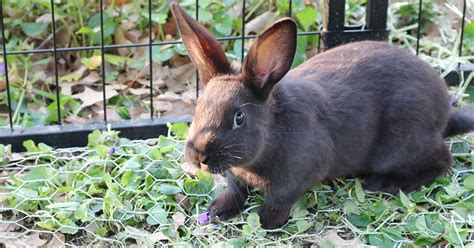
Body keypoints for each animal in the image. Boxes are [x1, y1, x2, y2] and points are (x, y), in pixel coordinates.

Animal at [170, 2, 474, 230]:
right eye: (199, 107)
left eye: (239, 118)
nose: (198, 156)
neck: (271, 134)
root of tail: (444, 109)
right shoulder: (236, 176)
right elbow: (236, 191)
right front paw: (217, 210)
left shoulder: (298, 174)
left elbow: (280, 199)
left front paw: (267, 220)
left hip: (400, 143)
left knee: (442, 160)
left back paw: (382, 184)